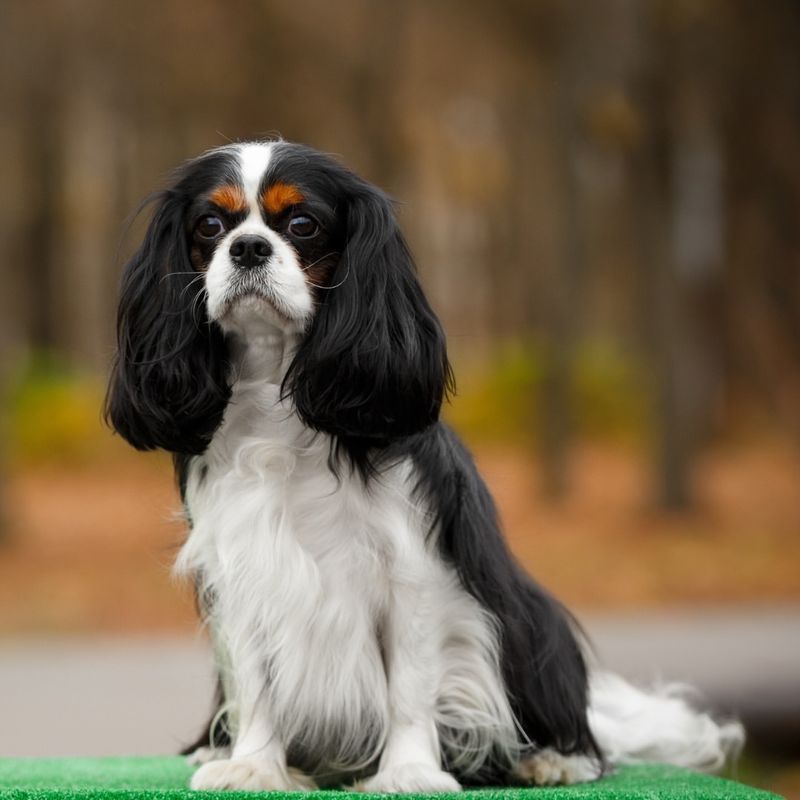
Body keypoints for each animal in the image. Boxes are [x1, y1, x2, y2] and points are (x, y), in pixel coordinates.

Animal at [106, 141, 744, 792]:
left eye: (302, 224)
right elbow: (258, 682)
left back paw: (553, 758)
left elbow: (408, 686)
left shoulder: (414, 575)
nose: (248, 247)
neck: (276, 386)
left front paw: (408, 770)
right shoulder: (243, 570)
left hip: (533, 621)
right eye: (210, 226)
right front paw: (255, 765)